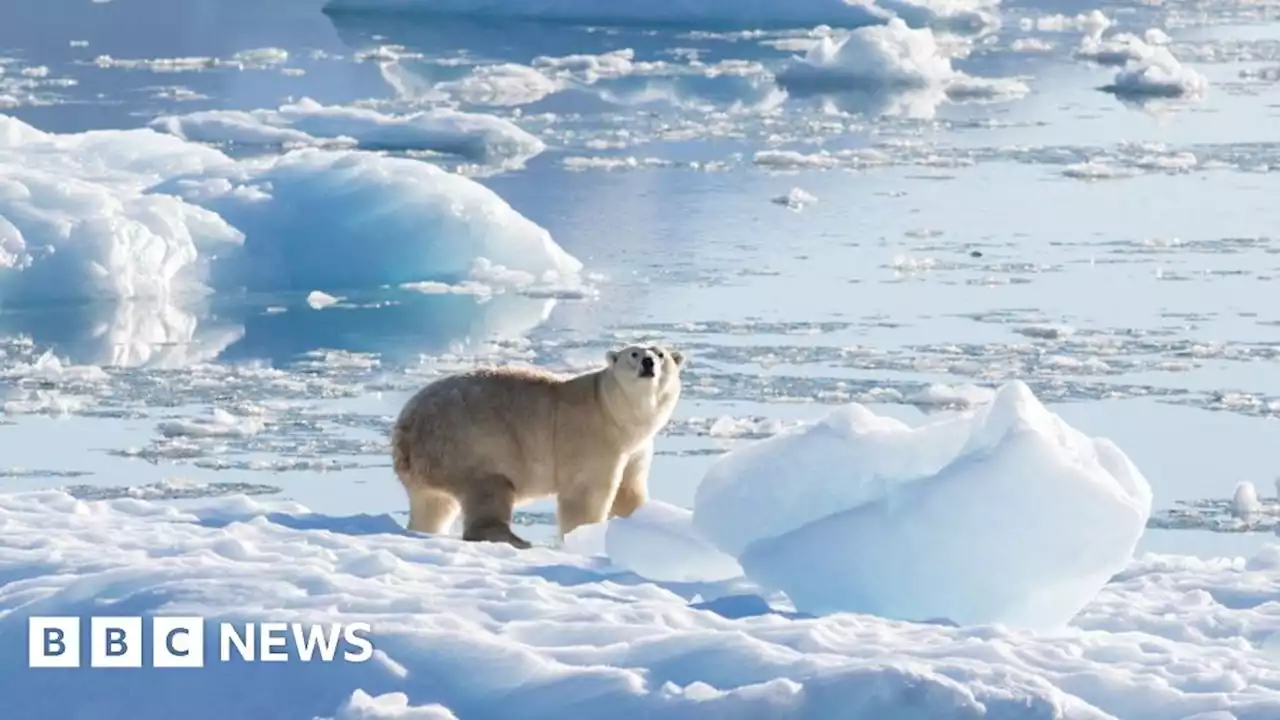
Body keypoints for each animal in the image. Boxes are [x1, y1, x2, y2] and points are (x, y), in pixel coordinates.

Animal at [391, 340, 686, 543]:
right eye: (633, 353)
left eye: (660, 353)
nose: (648, 362)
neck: (612, 411)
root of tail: (404, 429)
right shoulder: (591, 436)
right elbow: (586, 494)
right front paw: (583, 536)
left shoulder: (636, 448)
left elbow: (629, 491)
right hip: (467, 442)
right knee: (490, 487)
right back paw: (516, 540)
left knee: (434, 505)